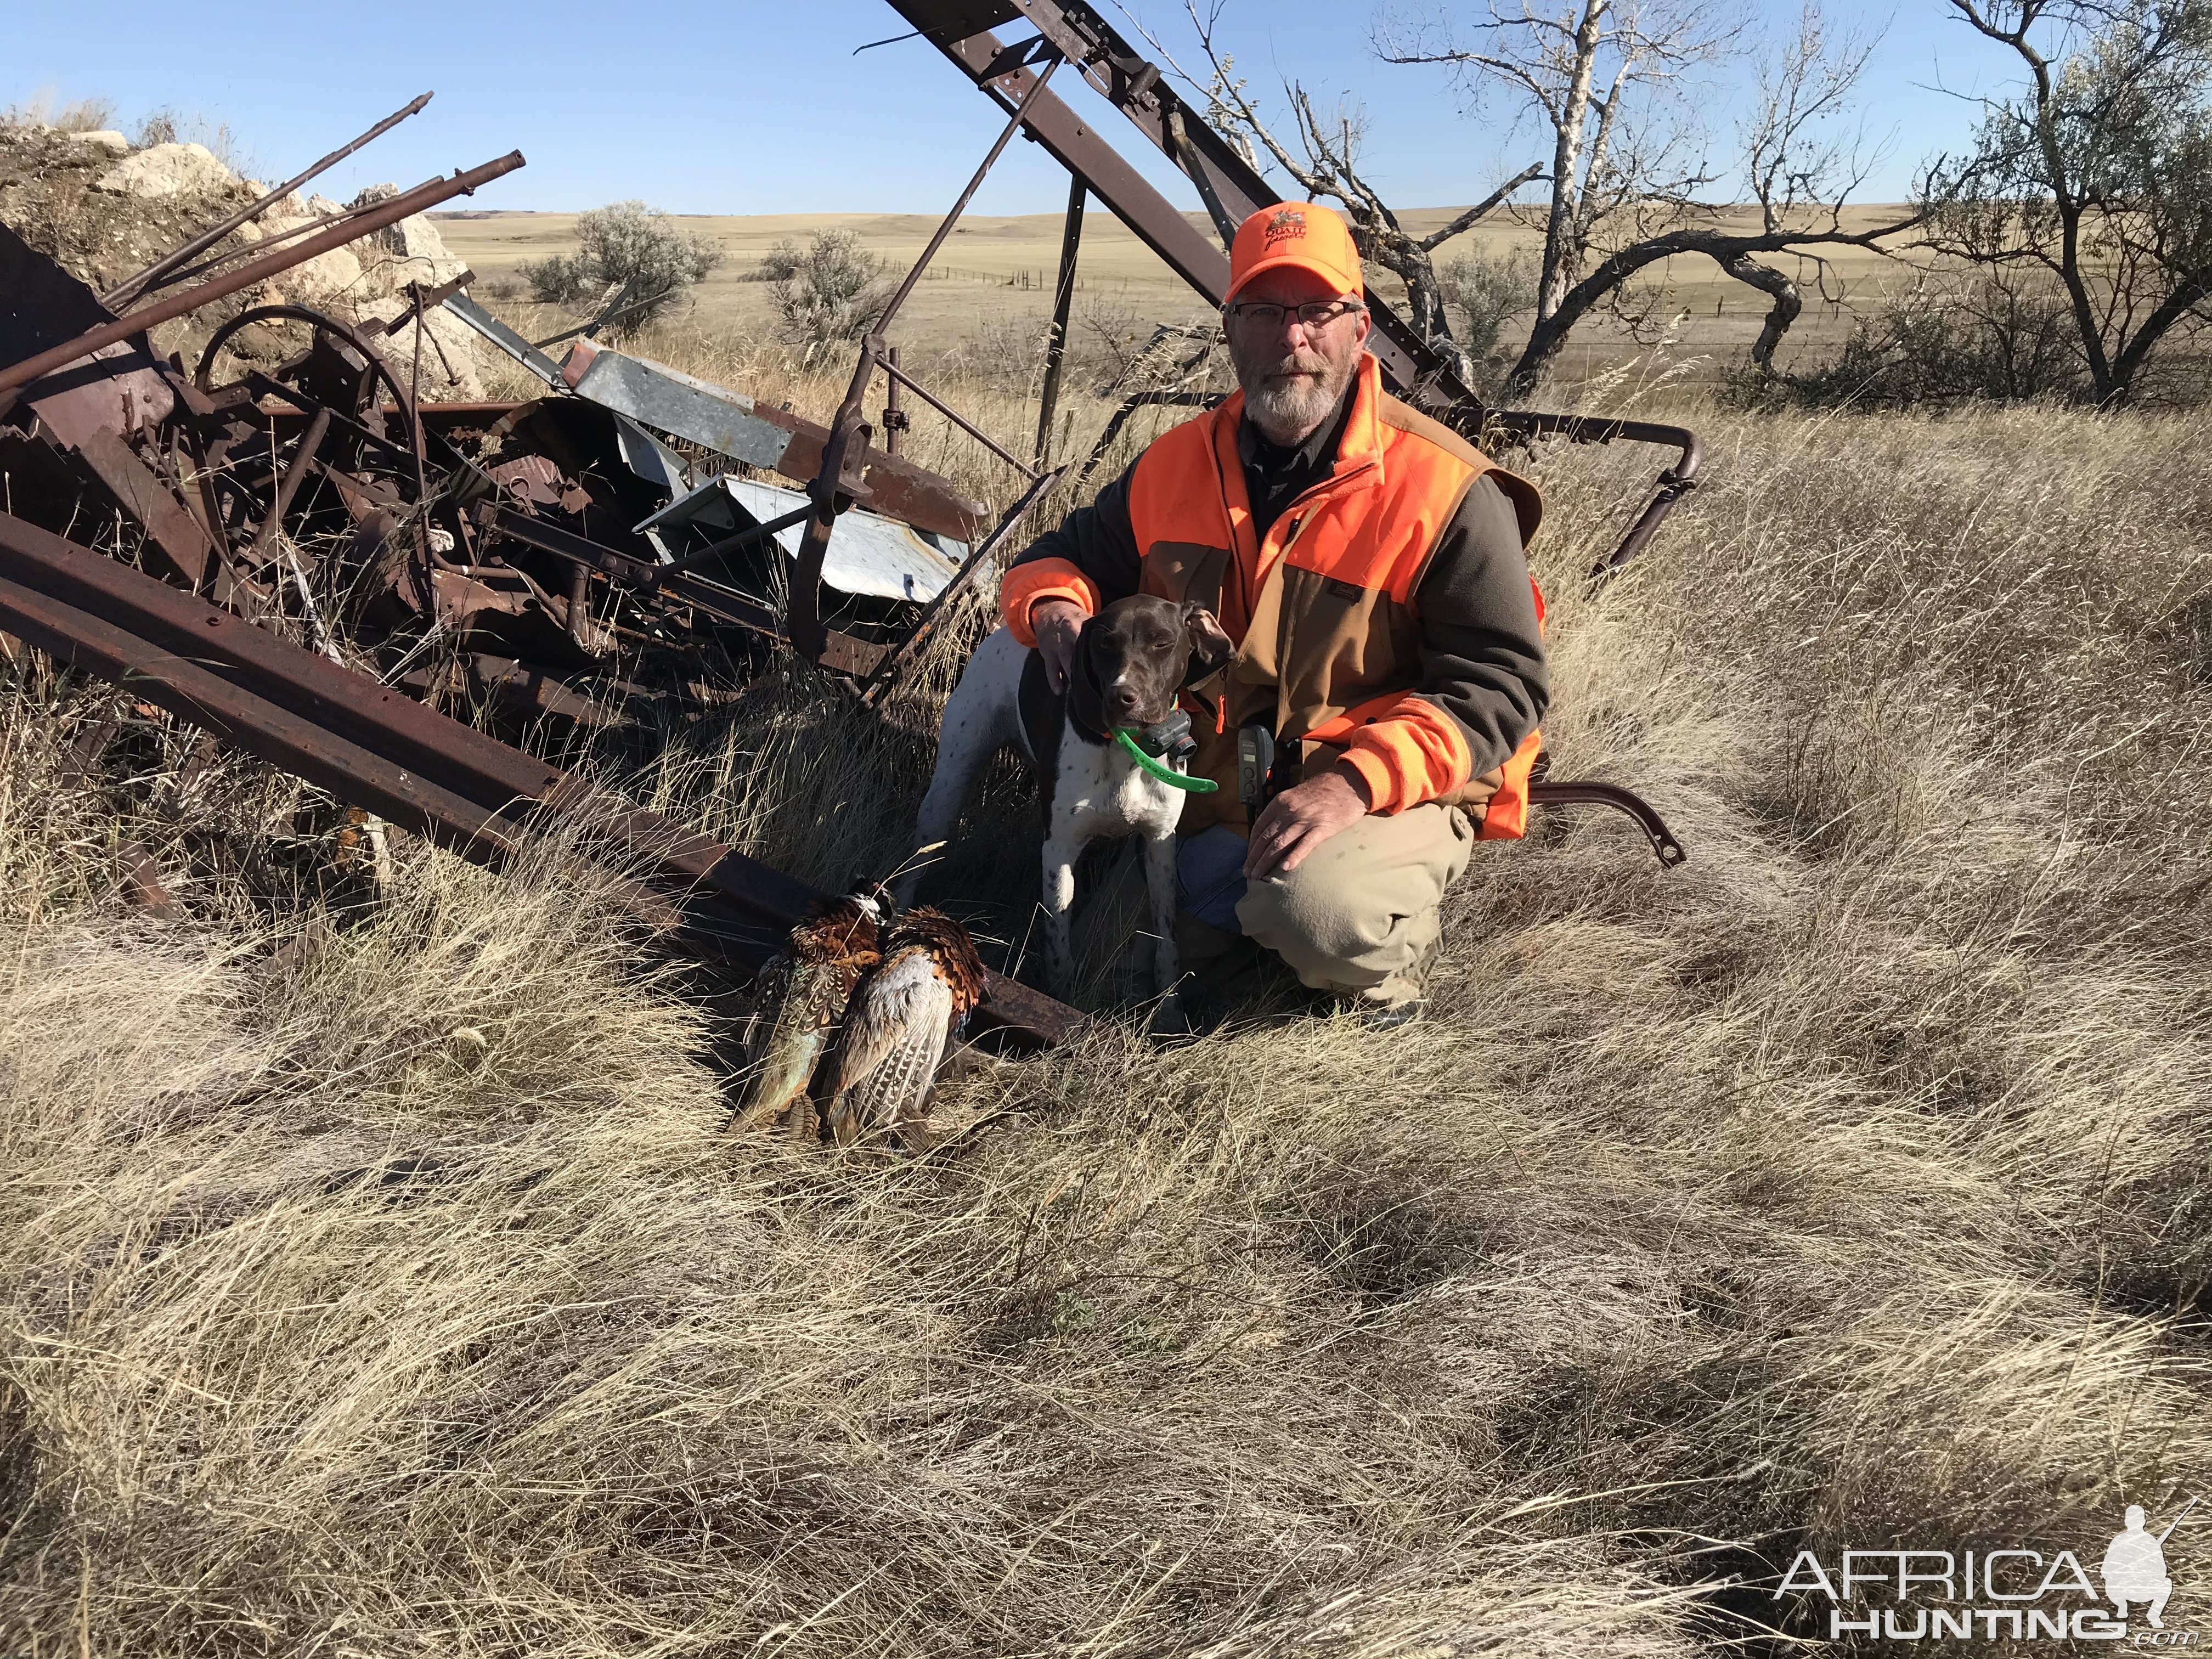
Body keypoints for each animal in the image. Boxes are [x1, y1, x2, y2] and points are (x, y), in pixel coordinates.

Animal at [902, 601, 1248, 1013]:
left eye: (1162, 643)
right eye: (1104, 644)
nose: (1122, 696)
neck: (1127, 751)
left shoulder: (1160, 844)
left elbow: (1168, 941)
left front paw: (1169, 1010)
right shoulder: (1060, 849)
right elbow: (1058, 943)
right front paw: (1060, 1001)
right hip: (949, 787)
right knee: (916, 861)